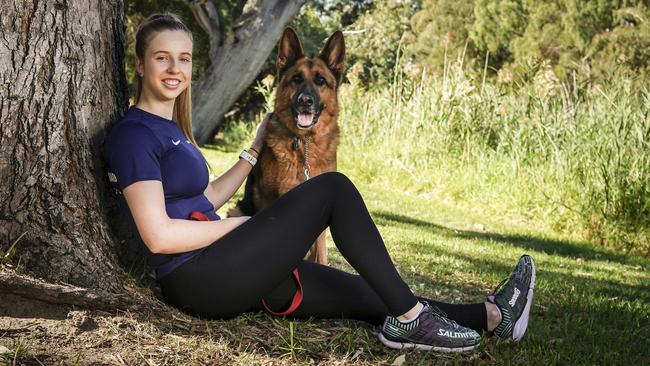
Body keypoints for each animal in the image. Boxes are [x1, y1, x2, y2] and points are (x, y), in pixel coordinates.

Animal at [228, 27, 342, 264]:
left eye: (320, 81)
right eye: (296, 79)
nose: (305, 101)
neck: (304, 144)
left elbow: (322, 255)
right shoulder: (270, 202)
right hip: (237, 211)